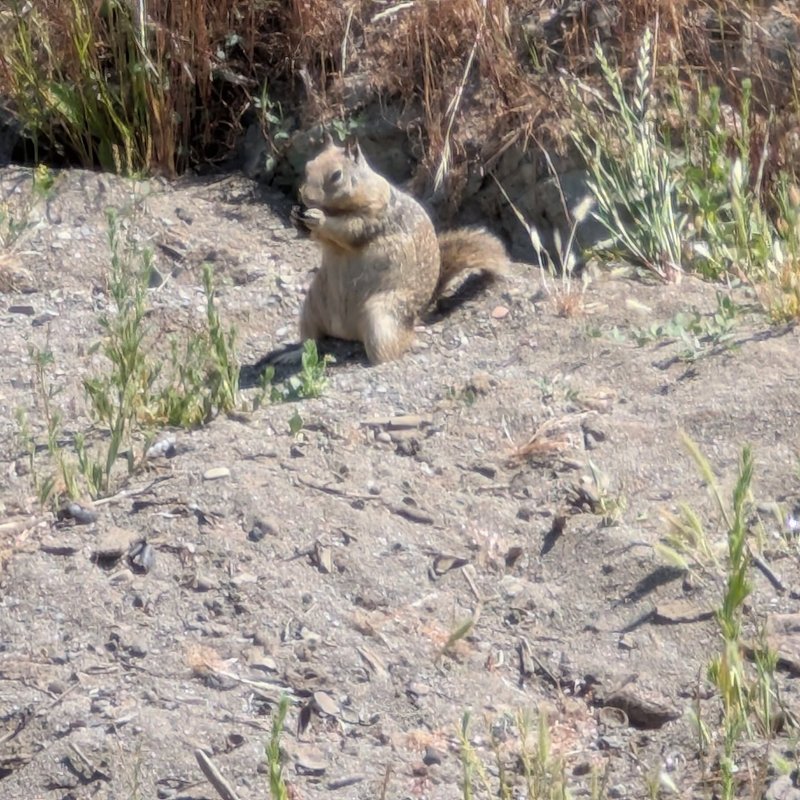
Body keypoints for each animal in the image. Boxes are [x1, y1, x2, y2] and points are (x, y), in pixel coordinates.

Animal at [289, 137, 509, 364]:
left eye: (336, 175)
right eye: (308, 166)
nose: (306, 197)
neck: (337, 208)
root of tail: (348, 333)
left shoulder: (374, 215)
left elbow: (349, 229)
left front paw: (318, 218)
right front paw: (296, 217)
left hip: (381, 316)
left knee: (393, 346)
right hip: (311, 306)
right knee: (311, 340)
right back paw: (292, 354)